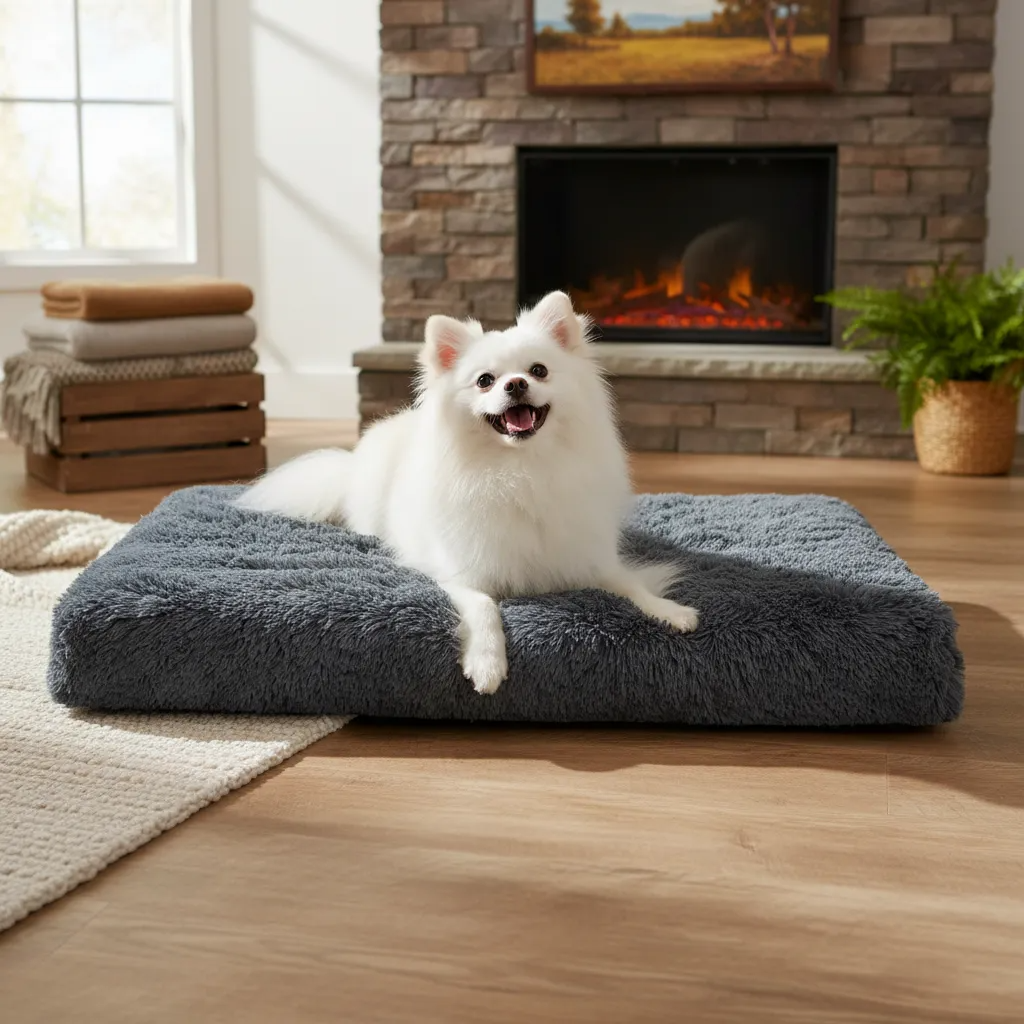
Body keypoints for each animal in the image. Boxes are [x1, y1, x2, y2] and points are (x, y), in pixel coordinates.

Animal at [236, 290, 699, 694]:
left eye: (539, 371)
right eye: (485, 381)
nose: (514, 384)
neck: (521, 469)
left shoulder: (589, 556)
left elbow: (631, 585)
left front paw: (669, 611)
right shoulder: (463, 573)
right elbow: (484, 609)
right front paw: (487, 664)